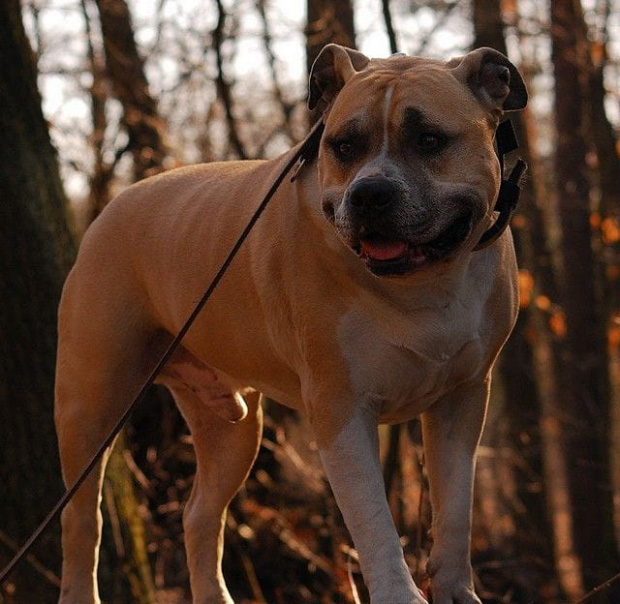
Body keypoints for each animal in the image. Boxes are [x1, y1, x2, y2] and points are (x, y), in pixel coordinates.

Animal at [55, 44, 524, 600]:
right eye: (344, 146)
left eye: (429, 139)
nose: (370, 193)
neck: (424, 284)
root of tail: (110, 208)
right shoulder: (342, 411)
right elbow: (374, 522)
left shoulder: (464, 399)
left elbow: (455, 511)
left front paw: (455, 590)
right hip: (90, 409)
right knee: (83, 522)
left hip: (233, 430)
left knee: (200, 515)